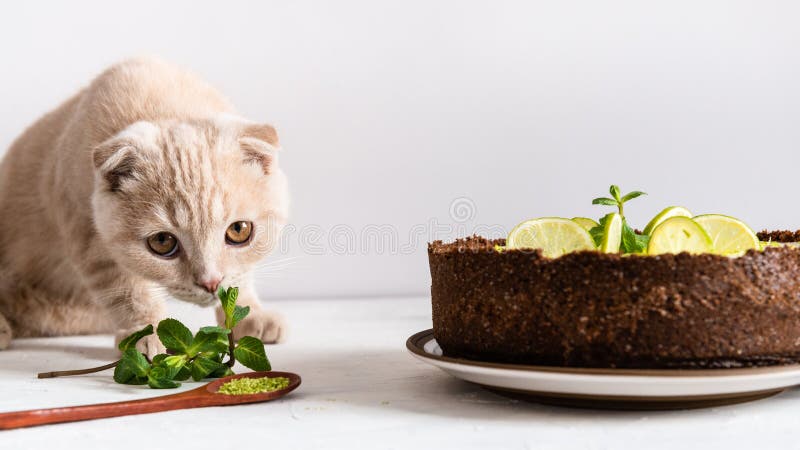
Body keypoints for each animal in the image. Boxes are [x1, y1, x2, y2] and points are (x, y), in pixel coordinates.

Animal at [0, 58, 290, 356]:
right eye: (162, 242)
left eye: (239, 230)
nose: (210, 282)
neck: (162, 101)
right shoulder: (90, 236)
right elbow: (129, 292)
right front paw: (147, 332)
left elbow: (240, 279)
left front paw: (250, 315)